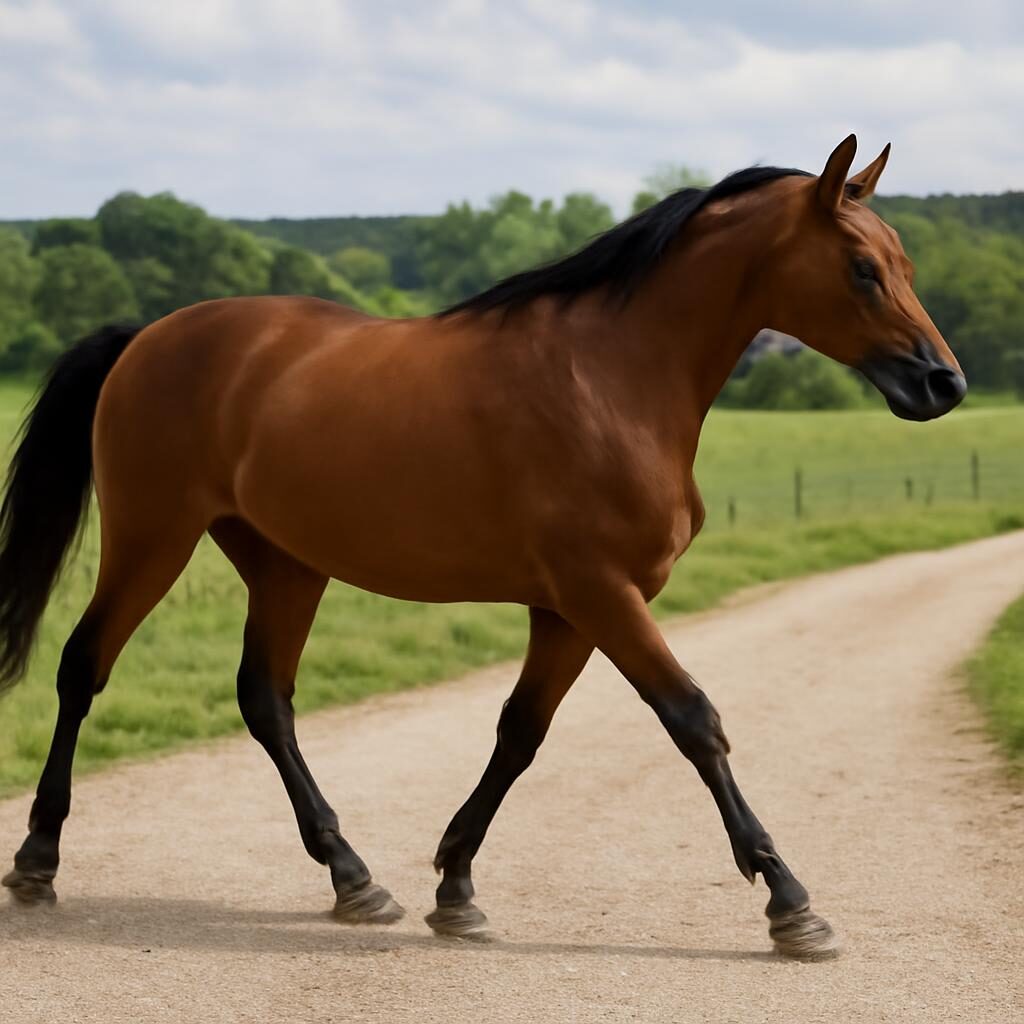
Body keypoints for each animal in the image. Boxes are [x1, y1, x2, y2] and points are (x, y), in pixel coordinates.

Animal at [0, 135, 965, 959]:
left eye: (905, 264)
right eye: (863, 269)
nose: (942, 383)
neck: (613, 379)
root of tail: (148, 335)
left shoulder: (568, 610)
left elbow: (520, 733)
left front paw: (455, 887)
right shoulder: (600, 593)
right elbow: (693, 720)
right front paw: (790, 902)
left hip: (284, 563)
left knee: (265, 699)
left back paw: (354, 880)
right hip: (152, 535)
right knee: (84, 667)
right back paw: (38, 862)